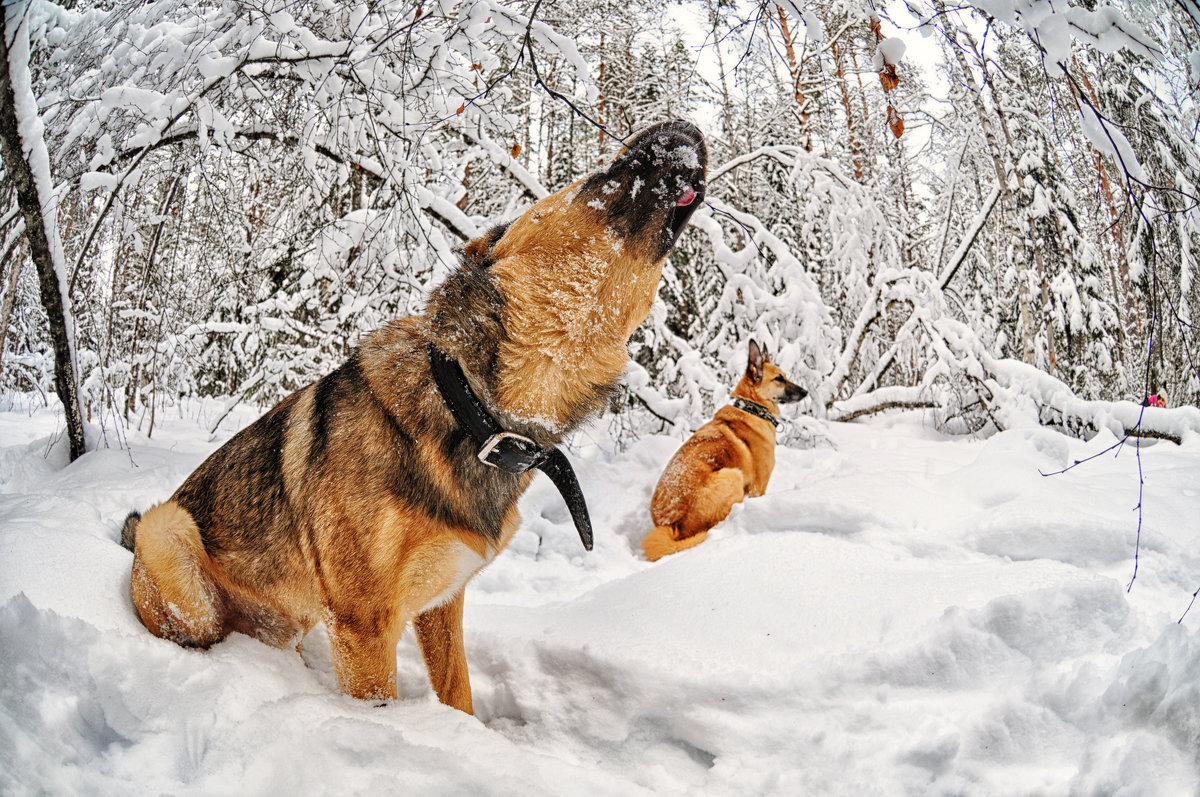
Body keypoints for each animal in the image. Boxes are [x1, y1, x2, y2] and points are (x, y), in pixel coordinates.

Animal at [120, 121, 705, 710]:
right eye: (597, 177)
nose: (686, 125)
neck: (470, 408)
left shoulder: (441, 602)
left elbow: (457, 692)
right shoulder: (362, 626)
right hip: (169, 536)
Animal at [638, 340, 806, 559]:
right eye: (779, 378)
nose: (805, 392)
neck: (752, 408)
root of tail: (670, 525)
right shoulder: (758, 486)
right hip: (732, 476)